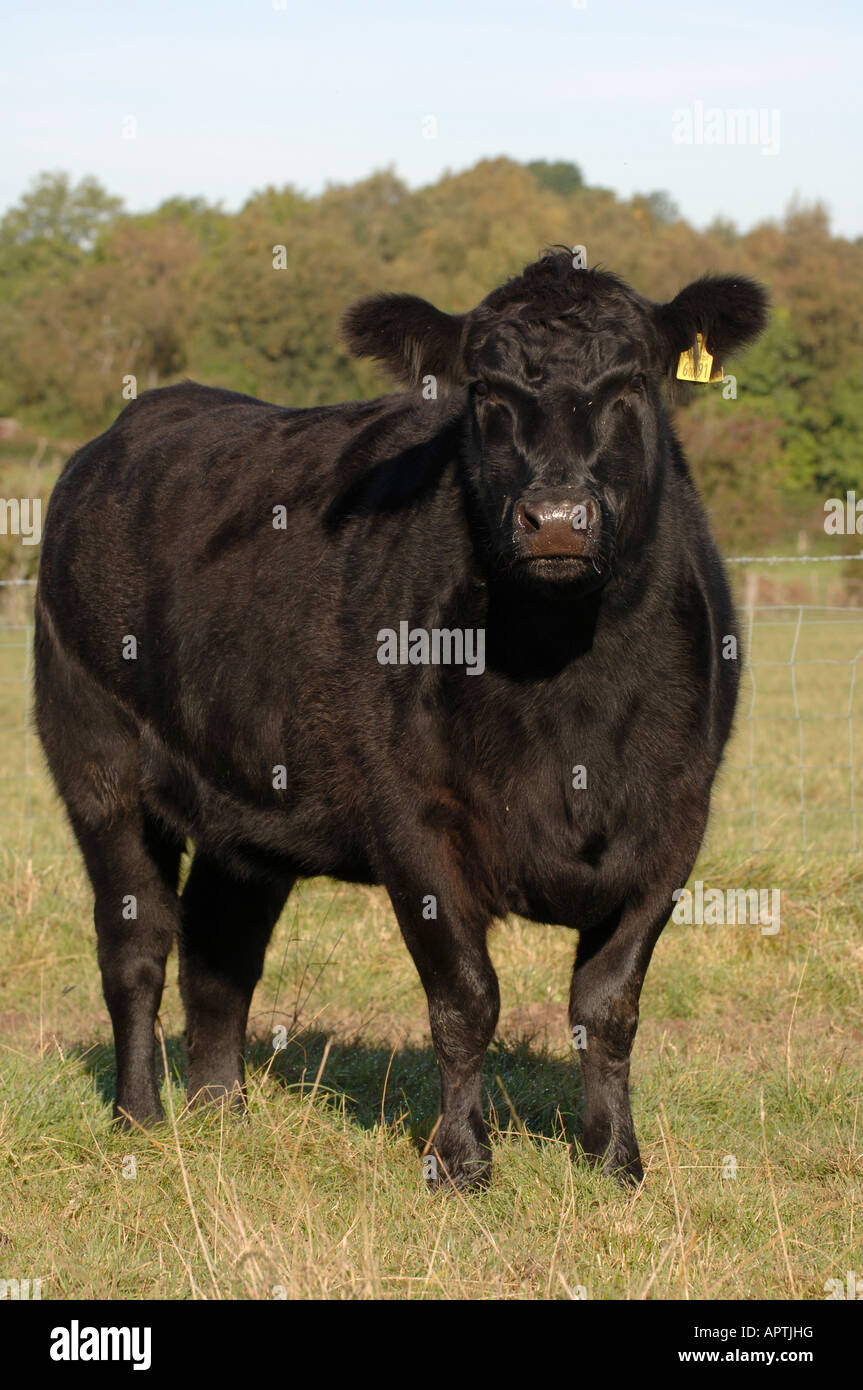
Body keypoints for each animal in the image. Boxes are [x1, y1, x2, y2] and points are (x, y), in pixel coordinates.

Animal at [33, 250, 761, 1184]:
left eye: (632, 380)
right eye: (484, 391)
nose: (556, 520)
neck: (565, 688)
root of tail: (135, 423)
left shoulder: (673, 821)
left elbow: (606, 1006)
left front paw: (614, 1159)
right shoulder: (411, 818)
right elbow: (465, 998)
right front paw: (461, 1162)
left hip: (247, 799)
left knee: (220, 953)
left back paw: (222, 1113)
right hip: (97, 762)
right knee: (136, 946)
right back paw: (140, 1119)